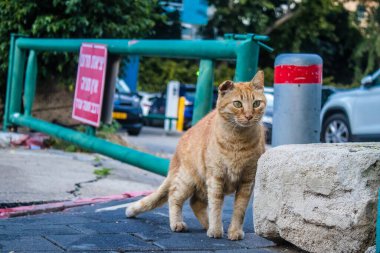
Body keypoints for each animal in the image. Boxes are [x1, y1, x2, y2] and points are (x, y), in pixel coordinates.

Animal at [126, 70, 266, 240]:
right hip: (187, 180)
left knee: (195, 203)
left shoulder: (247, 181)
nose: (249, 116)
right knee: (174, 197)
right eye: (238, 104)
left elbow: (239, 210)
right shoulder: (216, 177)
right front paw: (215, 230)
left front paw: (234, 231)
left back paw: (208, 225)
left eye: (256, 104)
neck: (238, 140)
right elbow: (216, 206)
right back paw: (180, 224)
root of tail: (179, 146)